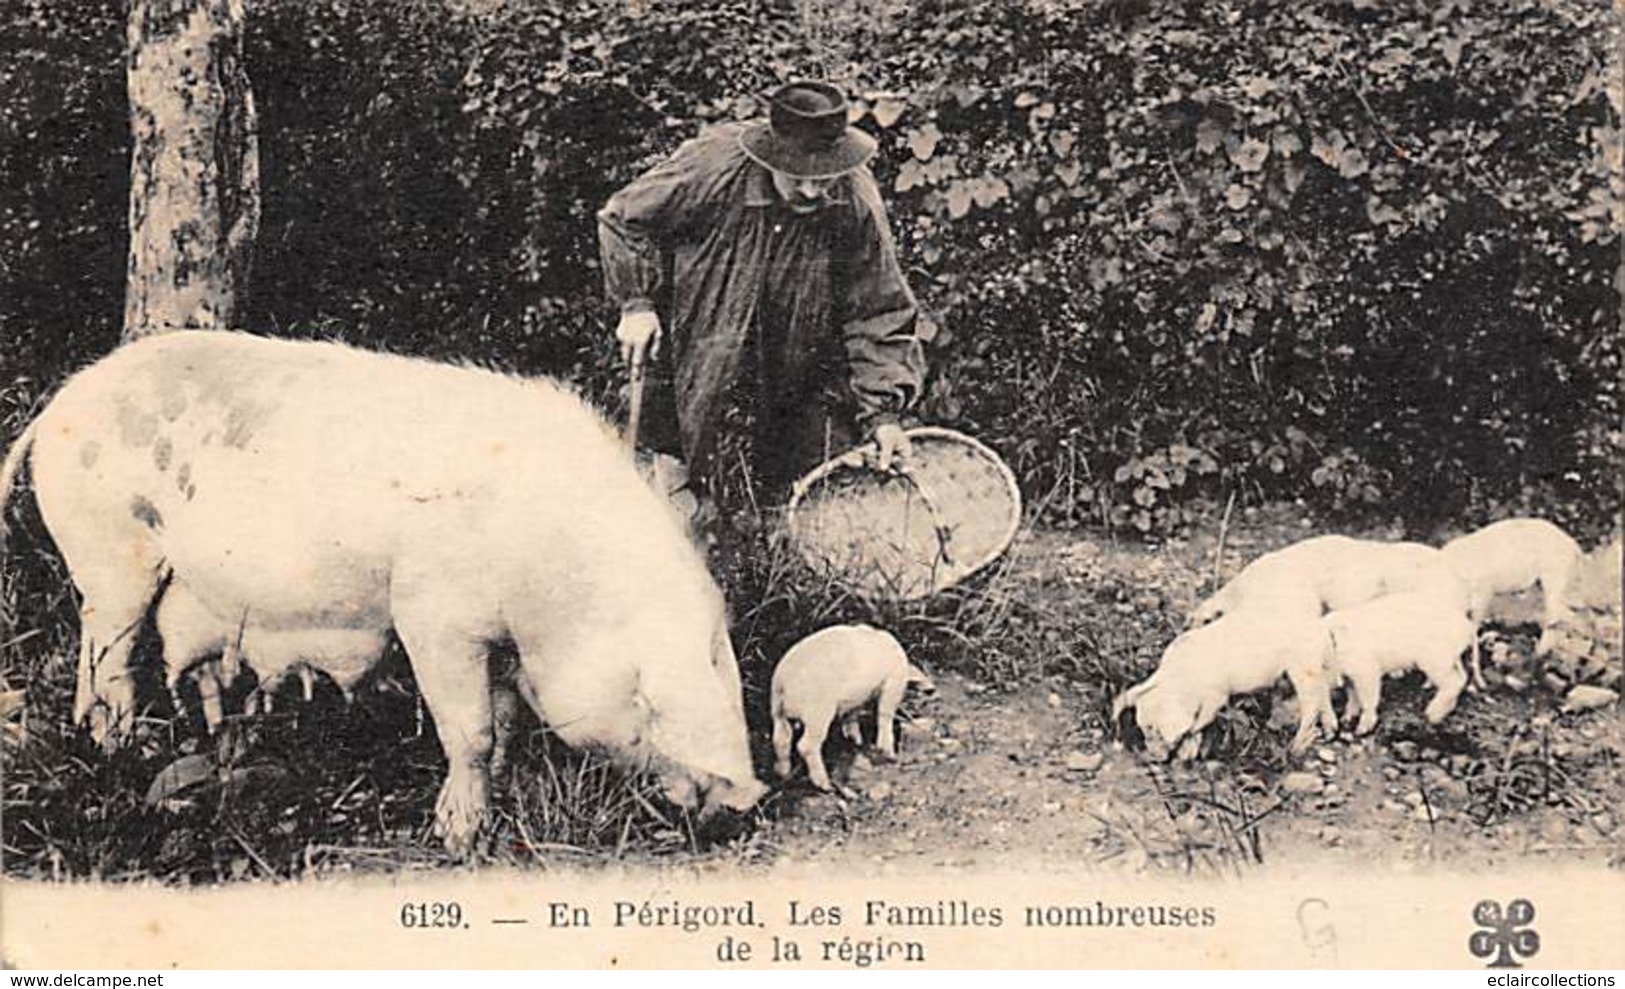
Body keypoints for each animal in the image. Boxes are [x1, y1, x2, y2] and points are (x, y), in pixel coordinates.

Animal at [0, 329, 767, 850]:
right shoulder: (433, 614)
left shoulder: (498, 640)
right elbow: (469, 728)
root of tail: (57, 408)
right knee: (112, 663)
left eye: (724, 666)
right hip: (111, 553)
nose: (750, 794)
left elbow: (503, 721)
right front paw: (457, 835)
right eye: (650, 699)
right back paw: (123, 751)